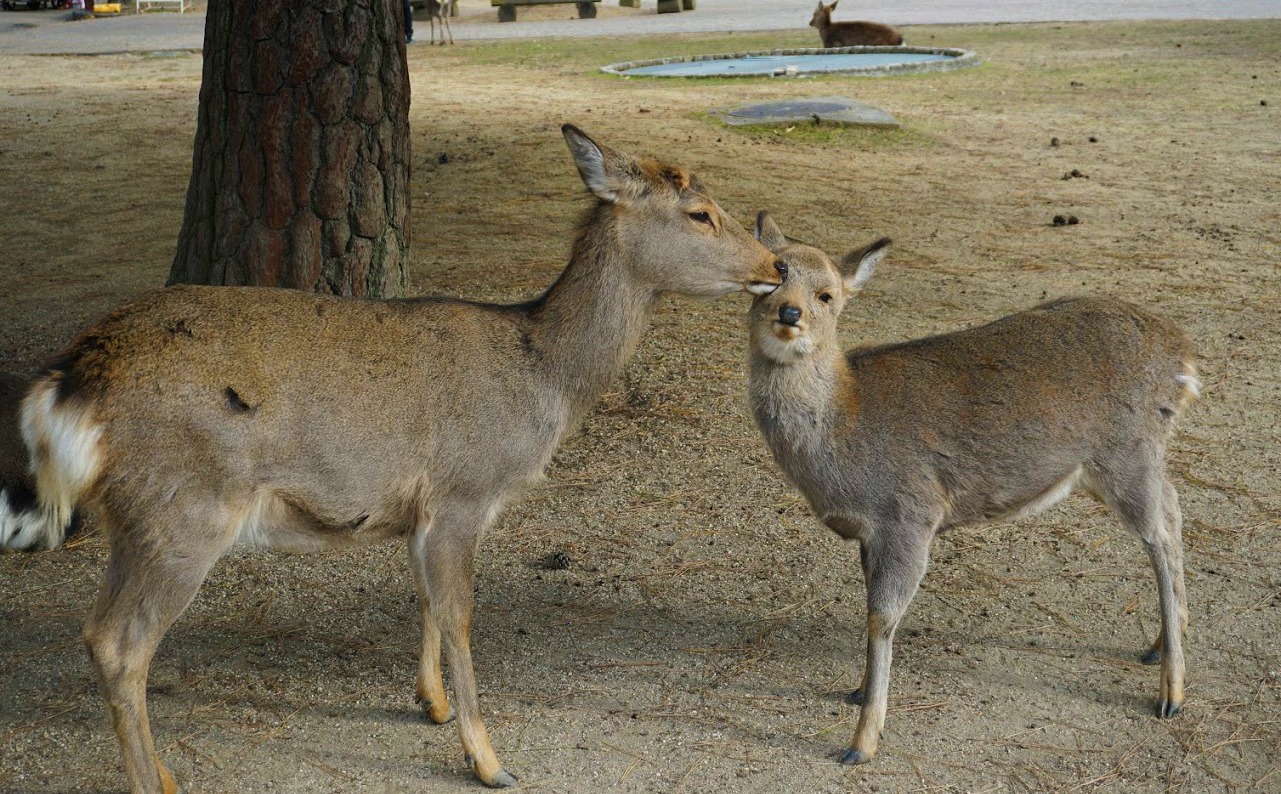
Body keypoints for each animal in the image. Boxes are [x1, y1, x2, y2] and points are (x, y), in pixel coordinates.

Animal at [10, 125, 778, 794]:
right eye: (701, 213)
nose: (777, 265)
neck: (543, 380)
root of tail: (68, 384)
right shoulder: (464, 491)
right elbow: (460, 614)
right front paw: (489, 760)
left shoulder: (419, 510)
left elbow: (426, 599)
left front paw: (430, 703)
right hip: (185, 511)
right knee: (122, 644)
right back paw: (155, 781)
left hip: (132, 519)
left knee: (96, 632)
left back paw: (165, 772)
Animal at [748, 213, 1193, 768]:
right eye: (774, 273)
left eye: (827, 295)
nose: (790, 312)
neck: (845, 427)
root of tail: (1182, 355)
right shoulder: (870, 534)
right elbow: (873, 607)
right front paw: (857, 690)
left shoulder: (909, 513)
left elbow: (882, 616)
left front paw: (862, 742)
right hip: (1120, 464)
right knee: (1174, 508)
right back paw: (1161, 644)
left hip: (1128, 452)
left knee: (1161, 539)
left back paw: (1172, 692)